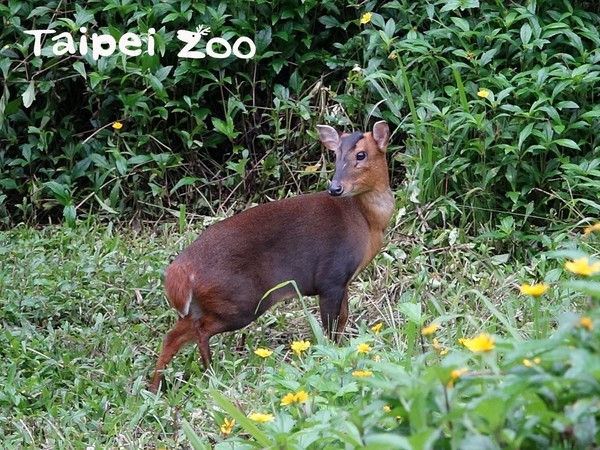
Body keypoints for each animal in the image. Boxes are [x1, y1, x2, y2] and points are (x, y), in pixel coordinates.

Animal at [150, 121, 394, 392]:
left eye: (361, 154)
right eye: (336, 155)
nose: (335, 188)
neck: (366, 221)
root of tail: (180, 271)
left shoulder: (343, 282)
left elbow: (342, 321)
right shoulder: (331, 277)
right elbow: (331, 329)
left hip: (204, 305)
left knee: (172, 336)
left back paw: (156, 387)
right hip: (240, 300)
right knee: (198, 330)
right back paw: (208, 370)